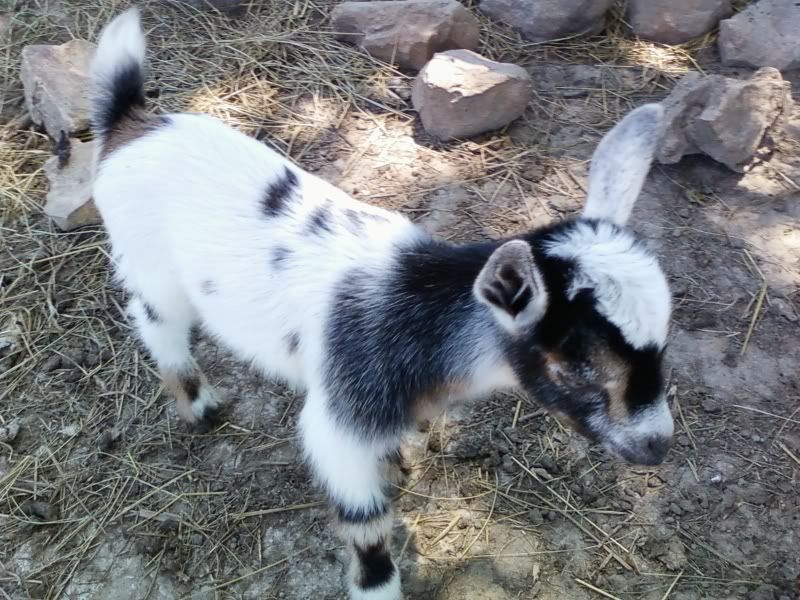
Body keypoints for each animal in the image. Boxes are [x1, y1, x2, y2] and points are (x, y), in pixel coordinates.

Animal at [90, 9, 673, 599]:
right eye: (577, 365)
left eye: (663, 345)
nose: (657, 446)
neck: (415, 310)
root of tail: (132, 124)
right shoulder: (340, 422)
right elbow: (364, 521)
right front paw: (379, 582)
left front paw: (396, 466)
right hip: (154, 268)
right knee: (156, 320)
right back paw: (200, 406)